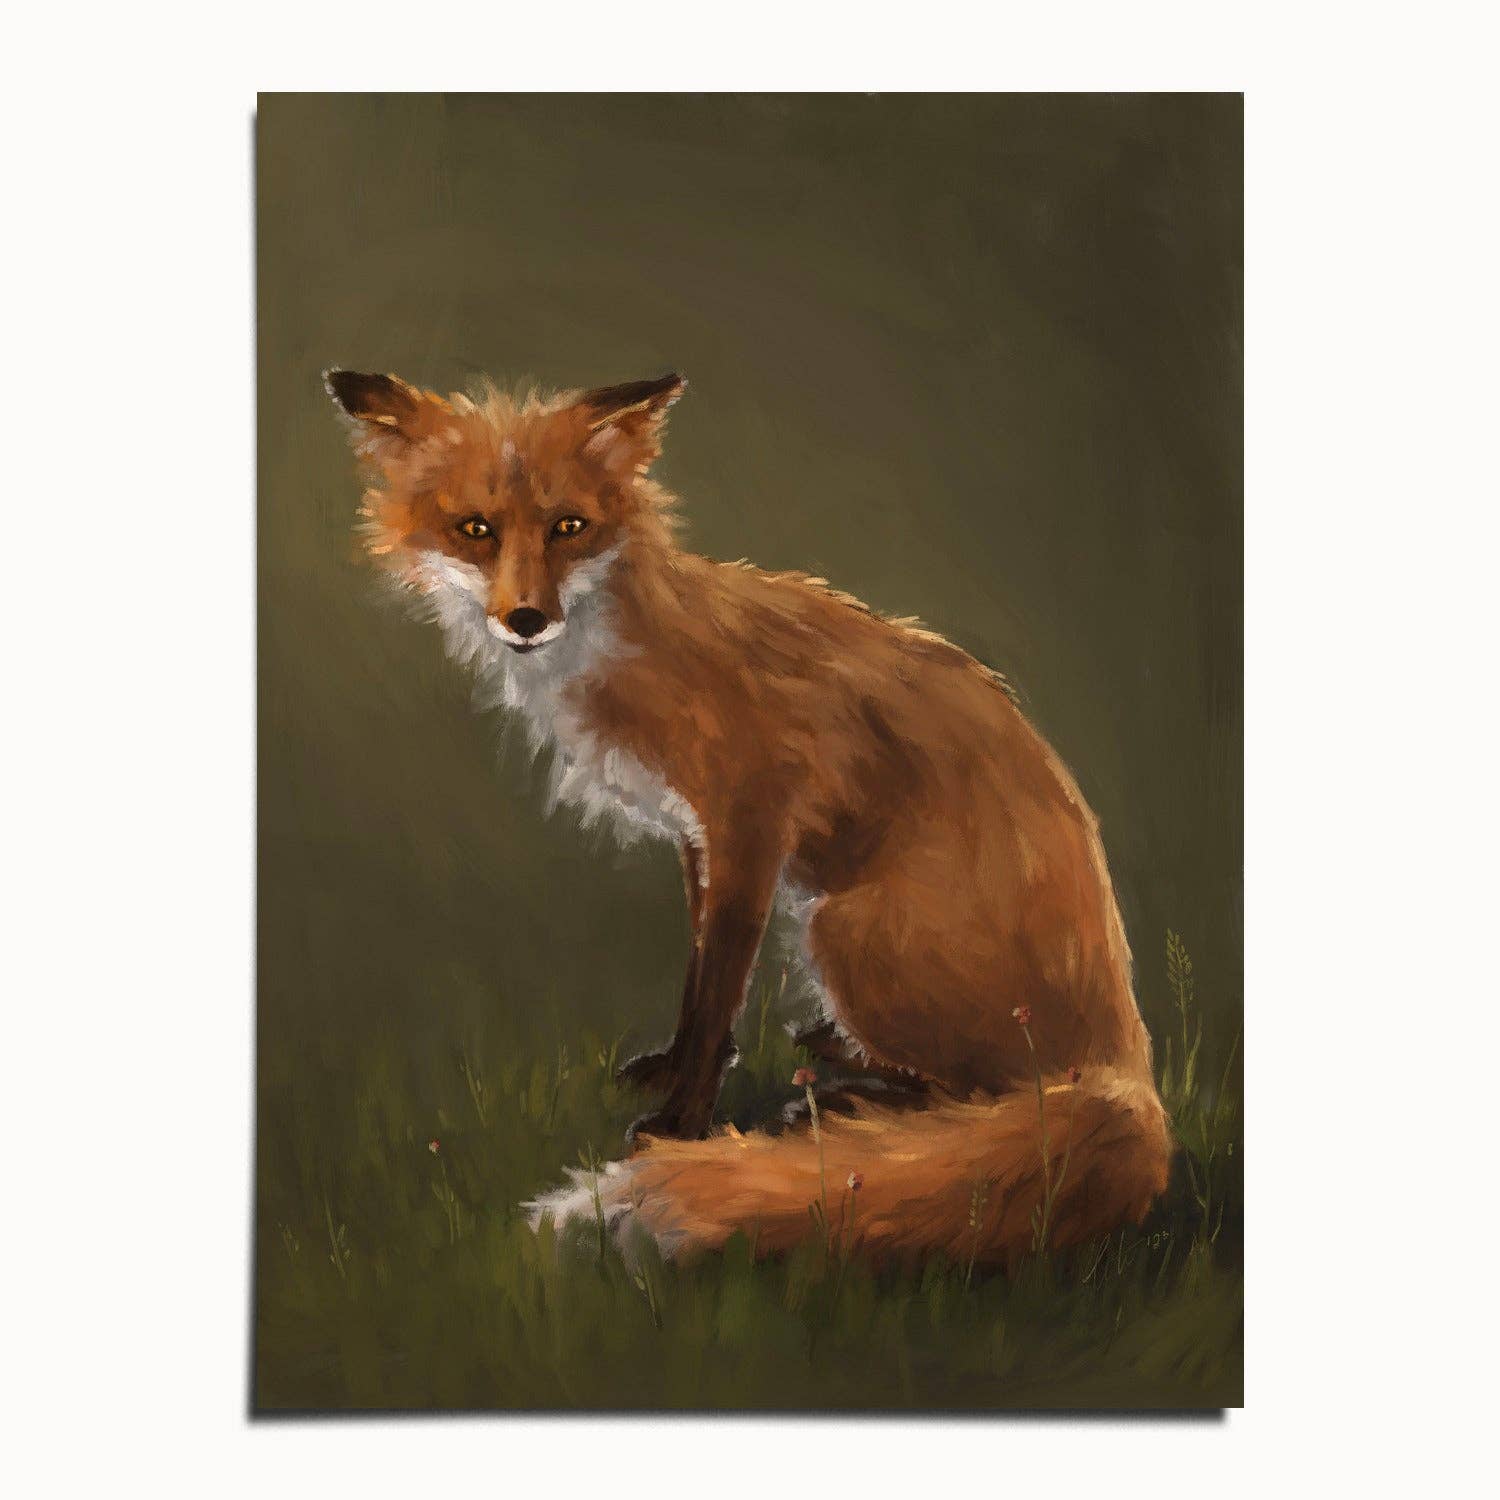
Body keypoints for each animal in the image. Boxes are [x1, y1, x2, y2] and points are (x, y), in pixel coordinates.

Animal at [326, 366, 1171, 1268]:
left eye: (569, 527)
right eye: (475, 530)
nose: (526, 619)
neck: (633, 648)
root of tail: (1127, 1060)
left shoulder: (752, 824)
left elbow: (717, 992)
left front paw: (678, 1124)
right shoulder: (698, 835)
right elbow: (699, 979)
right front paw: (672, 1070)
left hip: (840, 928)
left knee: (994, 1095)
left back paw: (847, 1101)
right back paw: (840, 1060)